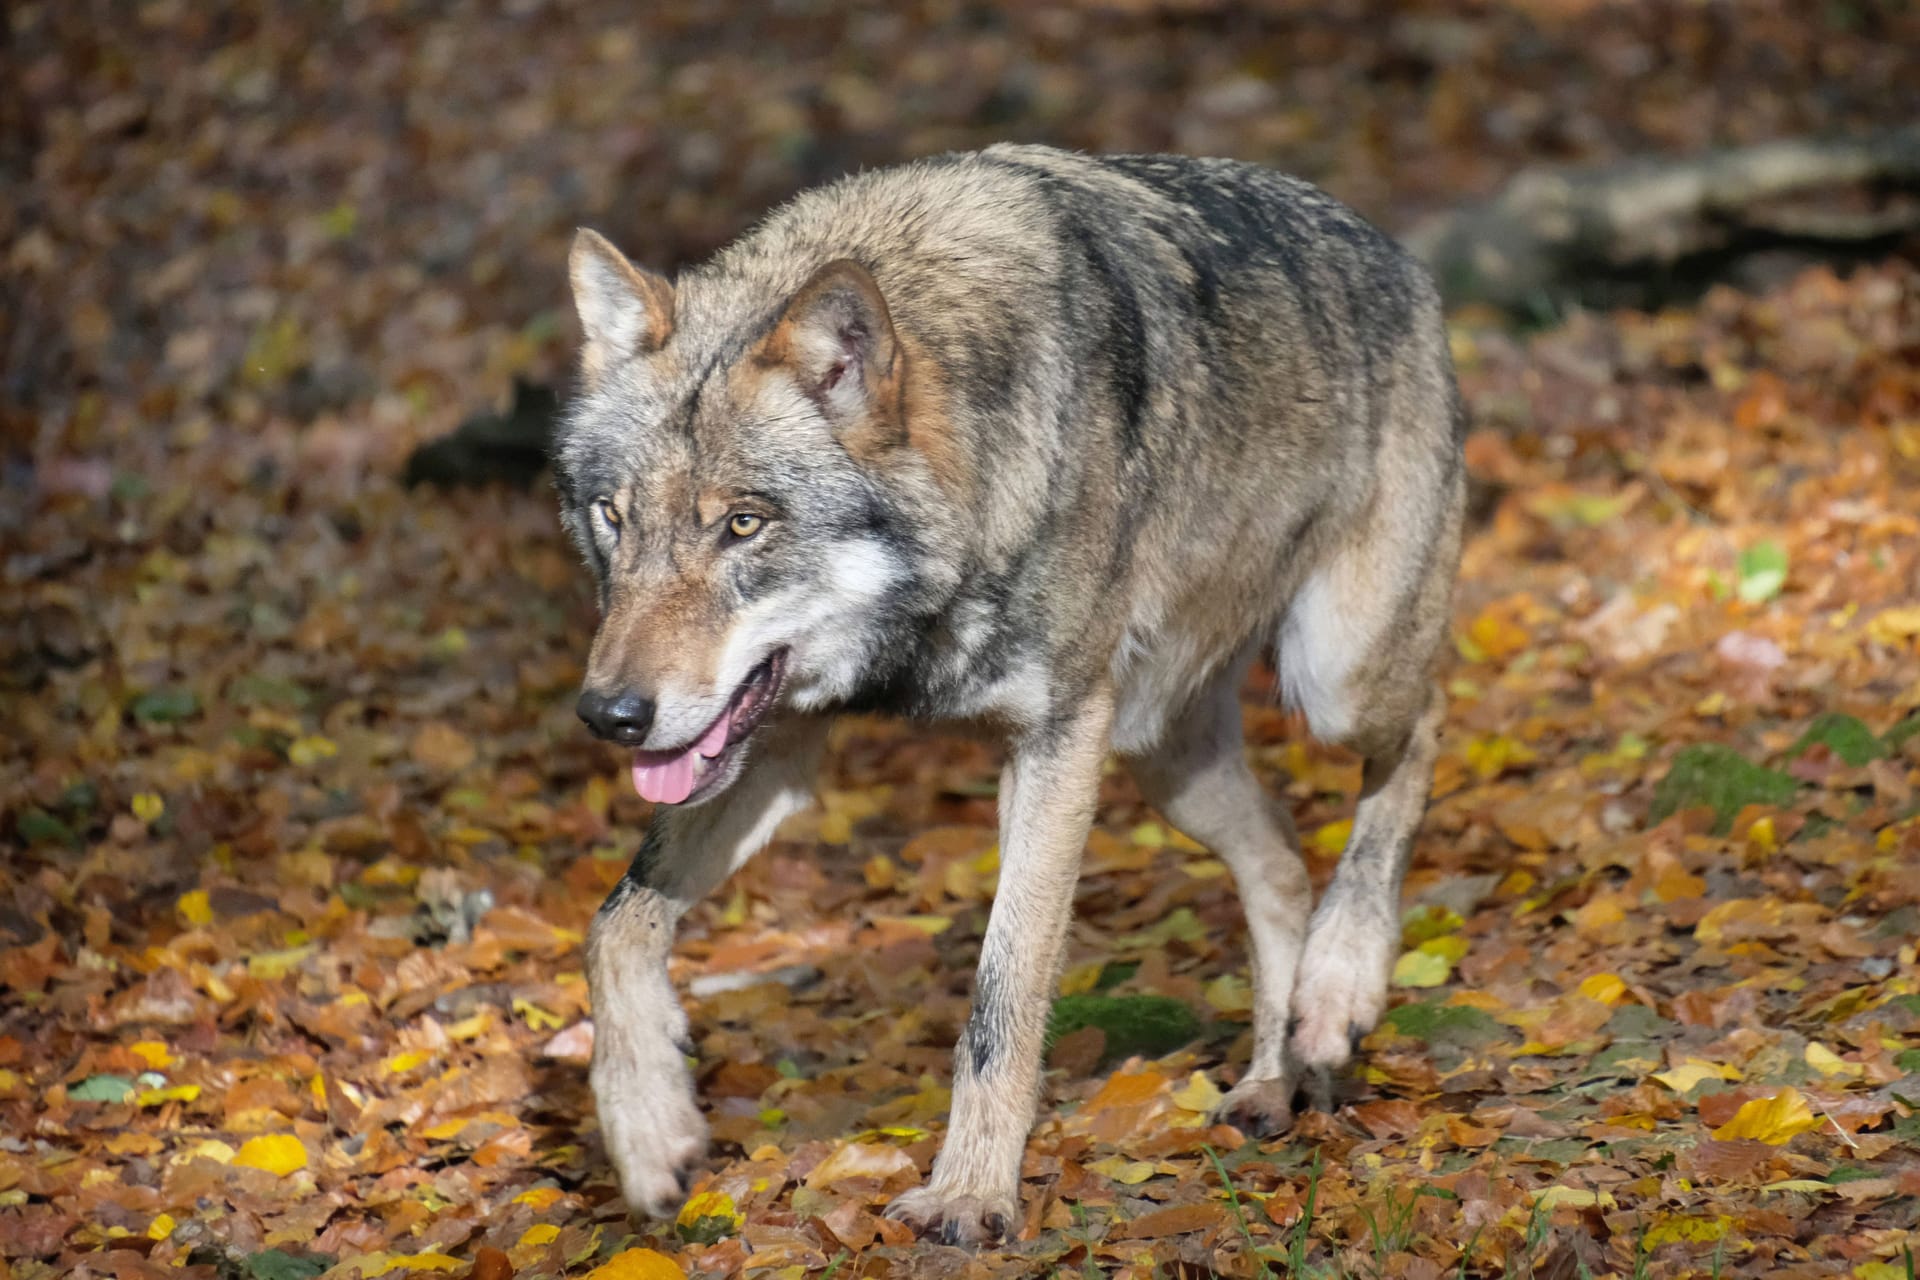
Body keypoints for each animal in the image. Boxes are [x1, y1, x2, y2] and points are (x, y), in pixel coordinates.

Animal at [556, 144, 1466, 1243]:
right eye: (612, 517)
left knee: (1423, 730)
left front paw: (970, 1192)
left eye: (742, 523)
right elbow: (614, 925)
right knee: (1285, 860)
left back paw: (1338, 988)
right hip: (1167, 760)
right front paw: (648, 1132)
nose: (610, 716)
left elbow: (1003, 993)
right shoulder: (777, 742)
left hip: (1335, 676)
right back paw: (1272, 1078)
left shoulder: (1057, 742)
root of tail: (1392, 250)